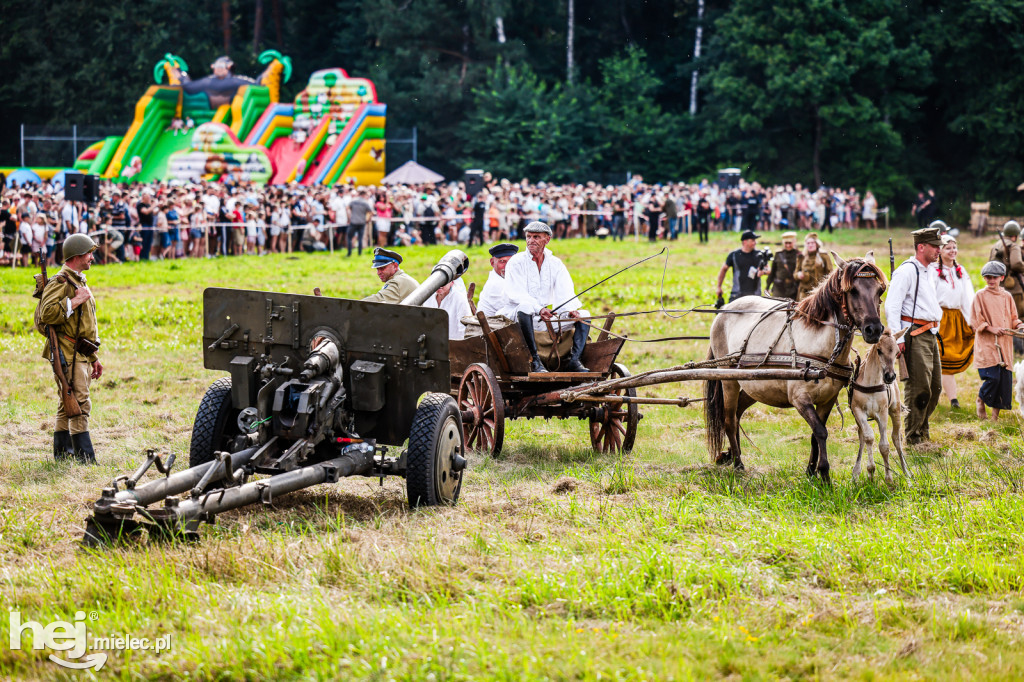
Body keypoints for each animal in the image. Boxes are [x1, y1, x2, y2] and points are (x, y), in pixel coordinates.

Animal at [704, 251, 888, 481]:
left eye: (880, 290)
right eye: (852, 290)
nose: (874, 329)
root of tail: (725, 310)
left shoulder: (828, 399)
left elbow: (815, 433)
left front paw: (811, 471)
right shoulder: (800, 399)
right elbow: (821, 432)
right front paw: (824, 473)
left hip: (754, 386)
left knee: (737, 415)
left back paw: (733, 454)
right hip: (729, 382)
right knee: (729, 420)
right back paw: (738, 464)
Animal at [847, 325, 913, 481]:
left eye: (897, 352)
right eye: (879, 350)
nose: (890, 376)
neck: (872, 383)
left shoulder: (882, 413)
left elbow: (884, 446)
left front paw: (889, 479)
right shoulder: (858, 412)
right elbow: (868, 438)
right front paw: (870, 471)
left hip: (895, 411)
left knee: (896, 438)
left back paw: (906, 472)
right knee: (862, 437)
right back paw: (857, 473)